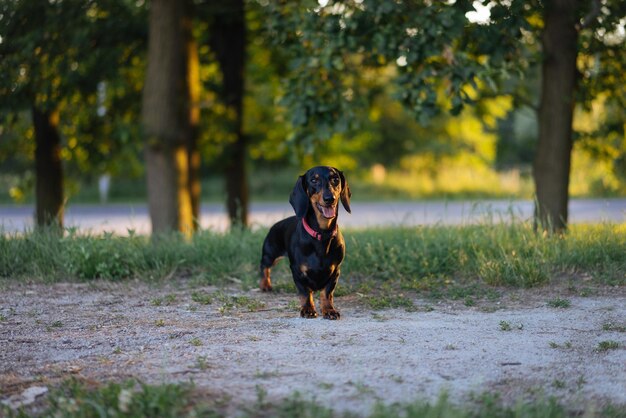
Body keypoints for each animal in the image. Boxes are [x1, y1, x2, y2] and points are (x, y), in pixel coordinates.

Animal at [256, 165, 348, 318]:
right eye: (313, 180)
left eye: (335, 179)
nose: (330, 198)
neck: (322, 234)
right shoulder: (297, 271)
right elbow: (305, 293)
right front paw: (308, 309)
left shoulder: (335, 271)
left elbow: (327, 293)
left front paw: (329, 309)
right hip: (270, 254)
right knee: (264, 267)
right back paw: (265, 285)